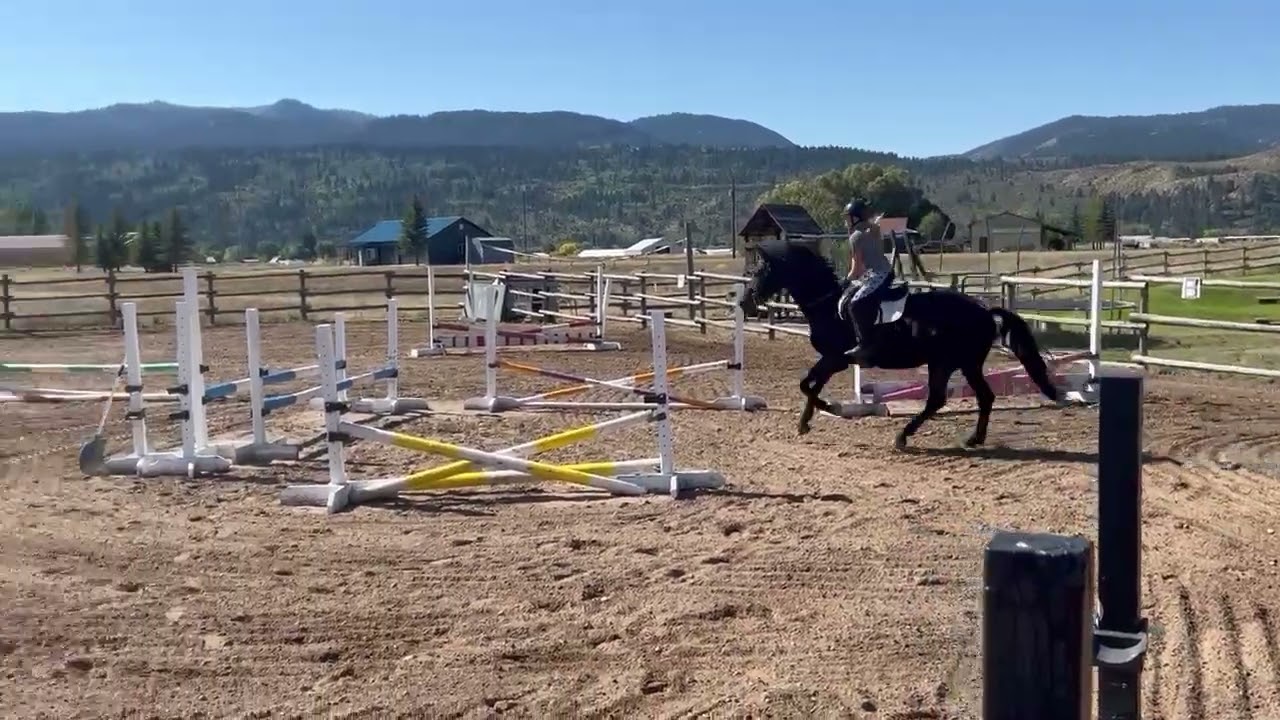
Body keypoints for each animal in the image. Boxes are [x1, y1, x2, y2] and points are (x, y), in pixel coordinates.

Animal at [738, 238, 1061, 449]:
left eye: (760, 271)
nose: (744, 304)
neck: (828, 305)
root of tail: (983, 310)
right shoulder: (832, 360)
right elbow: (809, 384)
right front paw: (805, 422)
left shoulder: (837, 358)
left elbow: (808, 385)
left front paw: (832, 408)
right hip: (959, 363)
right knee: (977, 397)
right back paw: (972, 438)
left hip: (951, 362)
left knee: (943, 399)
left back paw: (905, 436)